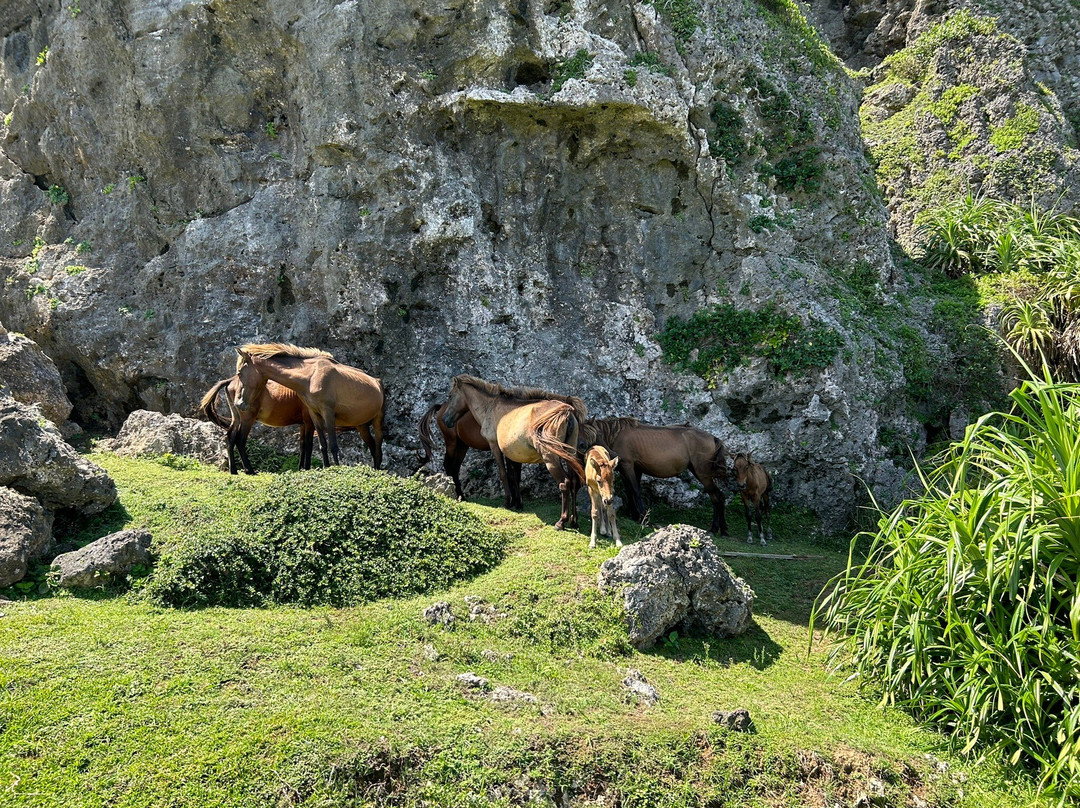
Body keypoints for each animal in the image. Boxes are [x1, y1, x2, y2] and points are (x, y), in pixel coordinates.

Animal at [234, 343, 386, 470]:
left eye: (239, 372)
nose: (239, 404)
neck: (311, 376)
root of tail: (377, 382)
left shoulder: (328, 413)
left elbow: (333, 445)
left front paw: (336, 469)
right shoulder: (314, 414)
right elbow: (322, 444)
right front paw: (326, 468)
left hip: (378, 420)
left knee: (378, 447)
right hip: (362, 425)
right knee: (373, 447)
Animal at [440, 373, 587, 529]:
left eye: (450, 396)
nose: (444, 419)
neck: (490, 406)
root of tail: (566, 412)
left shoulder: (495, 446)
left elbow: (504, 474)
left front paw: (507, 502)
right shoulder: (512, 453)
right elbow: (514, 476)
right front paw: (517, 503)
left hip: (551, 458)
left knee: (564, 483)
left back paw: (561, 521)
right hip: (569, 454)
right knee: (574, 482)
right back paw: (574, 521)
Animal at [578, 416, 730, 535]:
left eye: (595, 433)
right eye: (581, 431)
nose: (581, 445)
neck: (616, 435)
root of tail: (714, 438)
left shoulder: (629, 466)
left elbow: (635, 491)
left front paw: (643, 517)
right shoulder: (633, 469)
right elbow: (630, 492)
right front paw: (634, 514)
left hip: (703, 474)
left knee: (716, 497)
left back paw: (715, 528)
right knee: (719, 496)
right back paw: (722, 529)